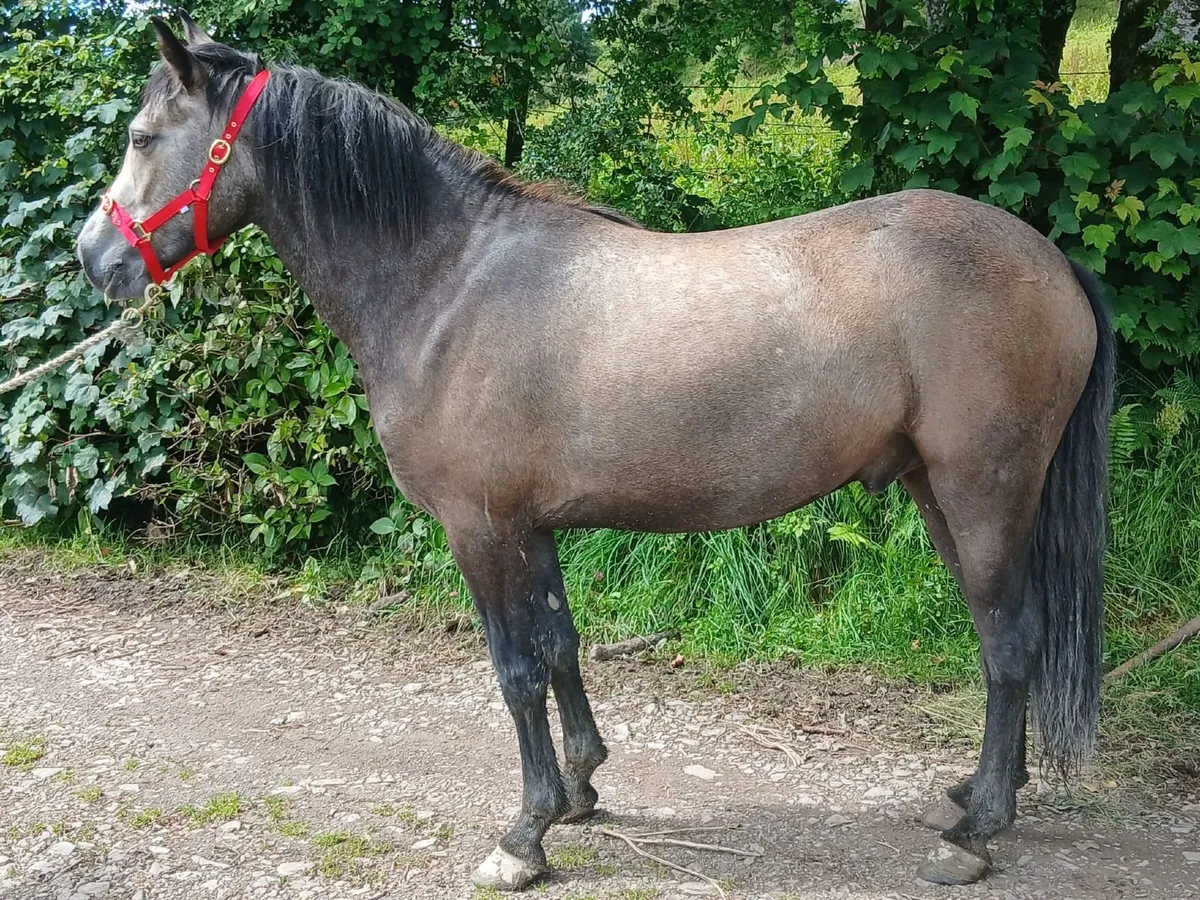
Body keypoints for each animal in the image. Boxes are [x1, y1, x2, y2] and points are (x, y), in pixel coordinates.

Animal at [76, 14, 1113, 891]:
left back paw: (976, 834)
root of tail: (1053, 260)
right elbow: (561, 645)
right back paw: (979, 797)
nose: (95, 259)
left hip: (982, 490)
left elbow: (515, 669)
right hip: (940, 492)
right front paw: (579, 789)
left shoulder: (480, 528)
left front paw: (523, 836)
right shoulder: (530, 527)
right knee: (1000, 637)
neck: (447, 283)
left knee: (1011, 642)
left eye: (140, 137)